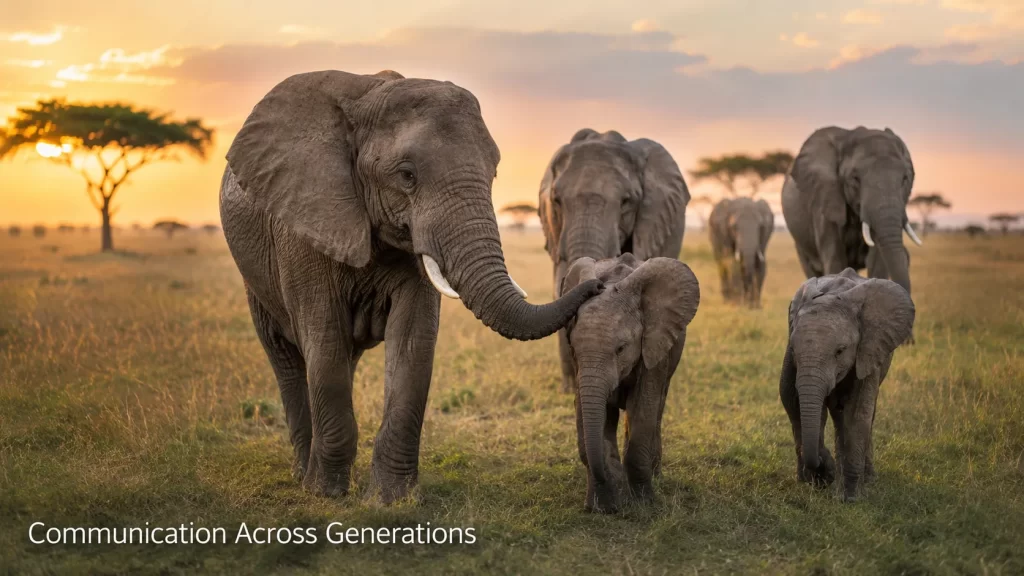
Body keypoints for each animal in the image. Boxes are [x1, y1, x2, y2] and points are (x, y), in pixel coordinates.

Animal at [220, 70, 603, 502]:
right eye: (406, 175)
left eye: (493, 173)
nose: (595, 280)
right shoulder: (303, 226)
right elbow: (325, 341)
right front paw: (327, 495)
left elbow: (412, 342)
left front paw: (392, 498)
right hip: (255, 278)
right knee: (286, 358)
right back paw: (304, 475)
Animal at [560, 254, 700, 513]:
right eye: (573, 348)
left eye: (621, 348)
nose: (615, 508)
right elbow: (590, 413)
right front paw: (601, 506)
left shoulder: (654, 345)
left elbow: (644, 407)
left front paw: (644, 504)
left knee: (657, 409)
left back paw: (655, 475)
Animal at [779, 268, 914, 502]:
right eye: (794, 350)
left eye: (840, 351)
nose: (823, 469)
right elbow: (792, 401)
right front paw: (821, 476)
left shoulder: (868, 349)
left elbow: (857, 414)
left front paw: (848, 499)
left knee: (864, 413)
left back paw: (867, 479)